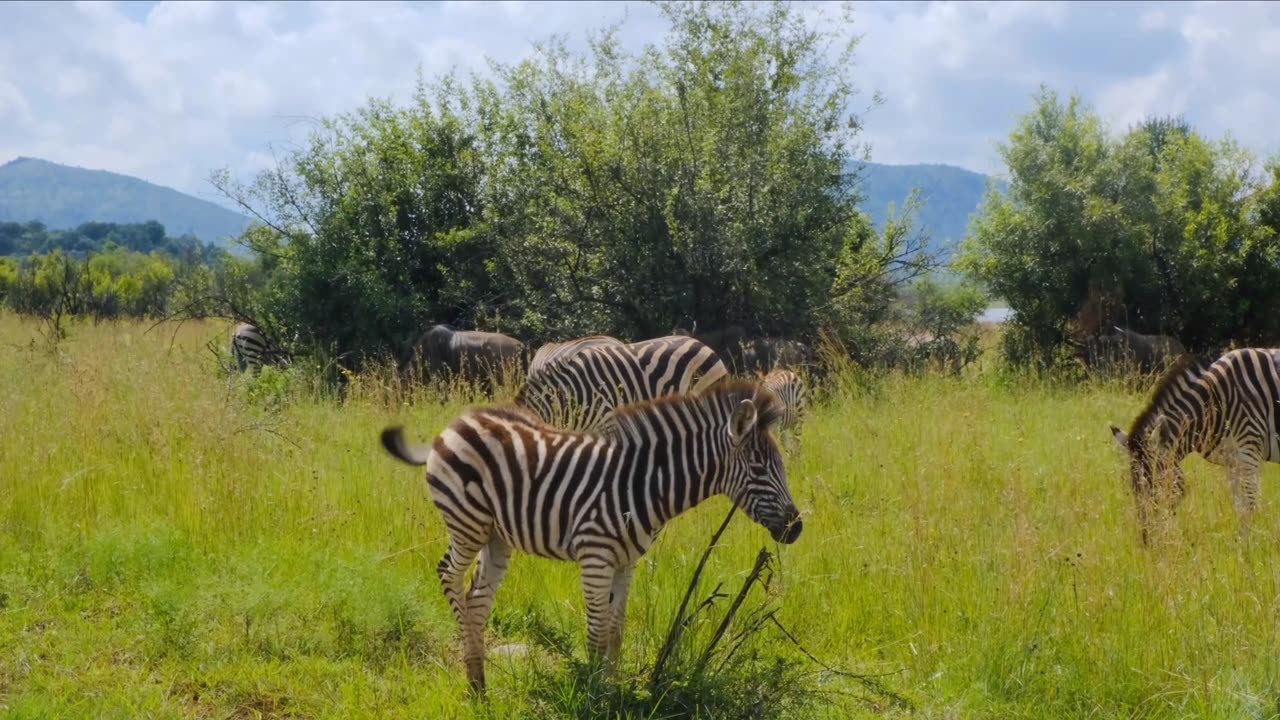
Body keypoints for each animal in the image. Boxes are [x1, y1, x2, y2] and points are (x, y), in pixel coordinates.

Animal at [376, 379, 798, 691]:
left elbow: (615, 632)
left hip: (497, 536)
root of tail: (457, 423)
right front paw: (594, 695)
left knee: (477, 598)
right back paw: (470, 665)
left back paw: (479, 685)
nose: (797, 528)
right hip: (467, 523)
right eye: (759, 469)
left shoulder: (627, 562)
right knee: (448, 574)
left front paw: (611, 691)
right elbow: (596, 632)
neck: (640, 485)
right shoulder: (595, 556)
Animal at [1105, 345, 1274, 538]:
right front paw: (1241, 541)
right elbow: (1239, 505)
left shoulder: (1249, 449)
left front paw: (1248, 544)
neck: (1215, 402)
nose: (1147, 539)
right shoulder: (1233, 460)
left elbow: (1248, 505)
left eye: (1156, 484)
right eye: (1133, 488)